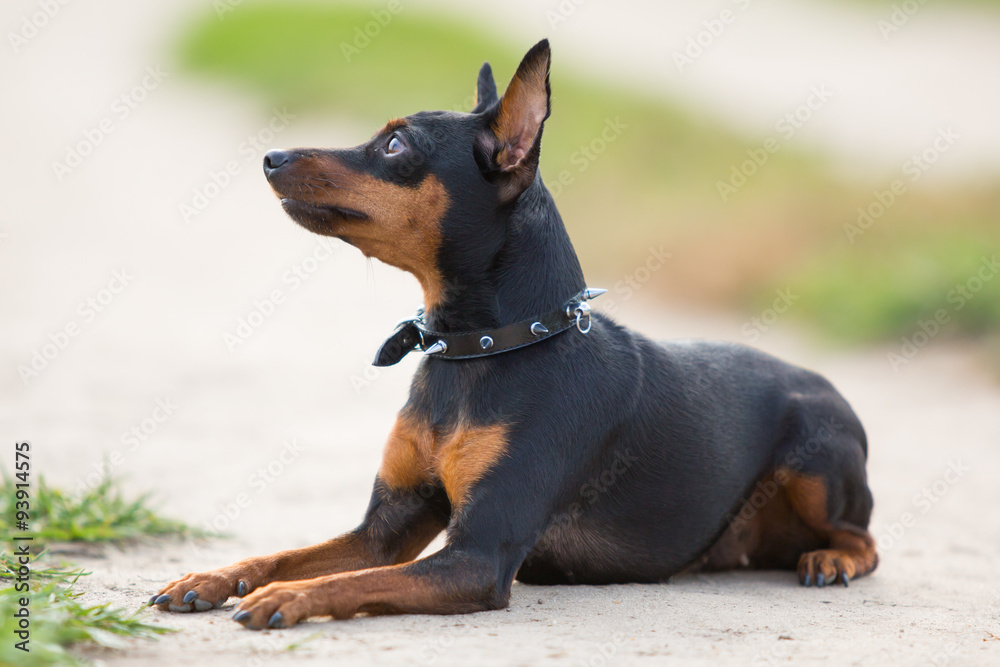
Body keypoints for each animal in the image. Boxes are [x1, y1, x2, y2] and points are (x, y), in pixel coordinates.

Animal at [150, 39, 876, 628]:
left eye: (396, 145)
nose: (271, 157)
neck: (481, 349)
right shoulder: (383, 529)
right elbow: (289, 555)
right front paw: (210, 577)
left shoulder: (477, 557)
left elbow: (347, 582)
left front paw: (288, 598)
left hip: (815, 453)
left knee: (862, 537)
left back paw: (831, 559)